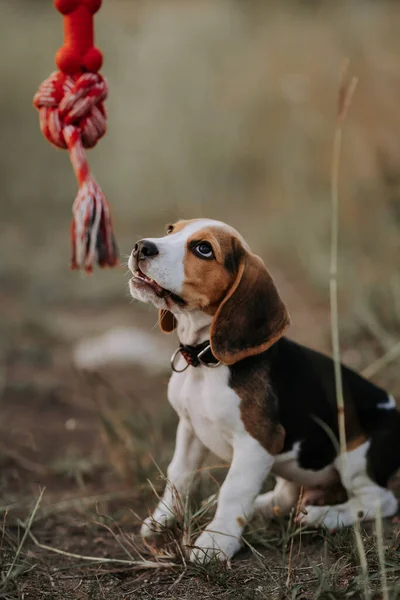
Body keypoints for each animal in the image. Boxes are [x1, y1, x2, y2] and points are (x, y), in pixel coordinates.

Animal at [129, 219, 400, 564]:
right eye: (170, 229)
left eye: (204, 249)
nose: (141, 247)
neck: (206, 362)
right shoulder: (189, 428)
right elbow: (179, 475)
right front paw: (161, 522)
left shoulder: (258, 442)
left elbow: (234, 491)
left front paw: (215, 543)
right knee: (286, 494)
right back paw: (263, 507)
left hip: (355, 458)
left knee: (380, 501)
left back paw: (324, 516)